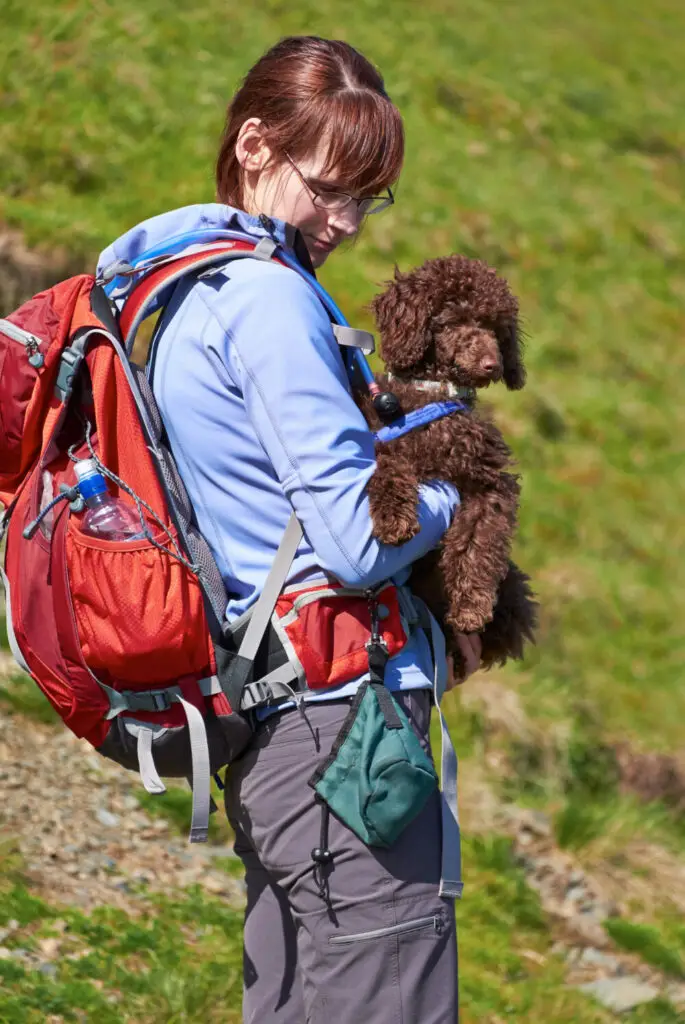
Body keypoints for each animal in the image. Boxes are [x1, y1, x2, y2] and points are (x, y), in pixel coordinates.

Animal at [358, 252, 532, 675]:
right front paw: (394, 518)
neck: (437, 396)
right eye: (452, 320)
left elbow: (478, 543)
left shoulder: (490, 483)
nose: (491, 364)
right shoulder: (380, 436)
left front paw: (471, 607)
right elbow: (389, 466)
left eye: (495, 326)